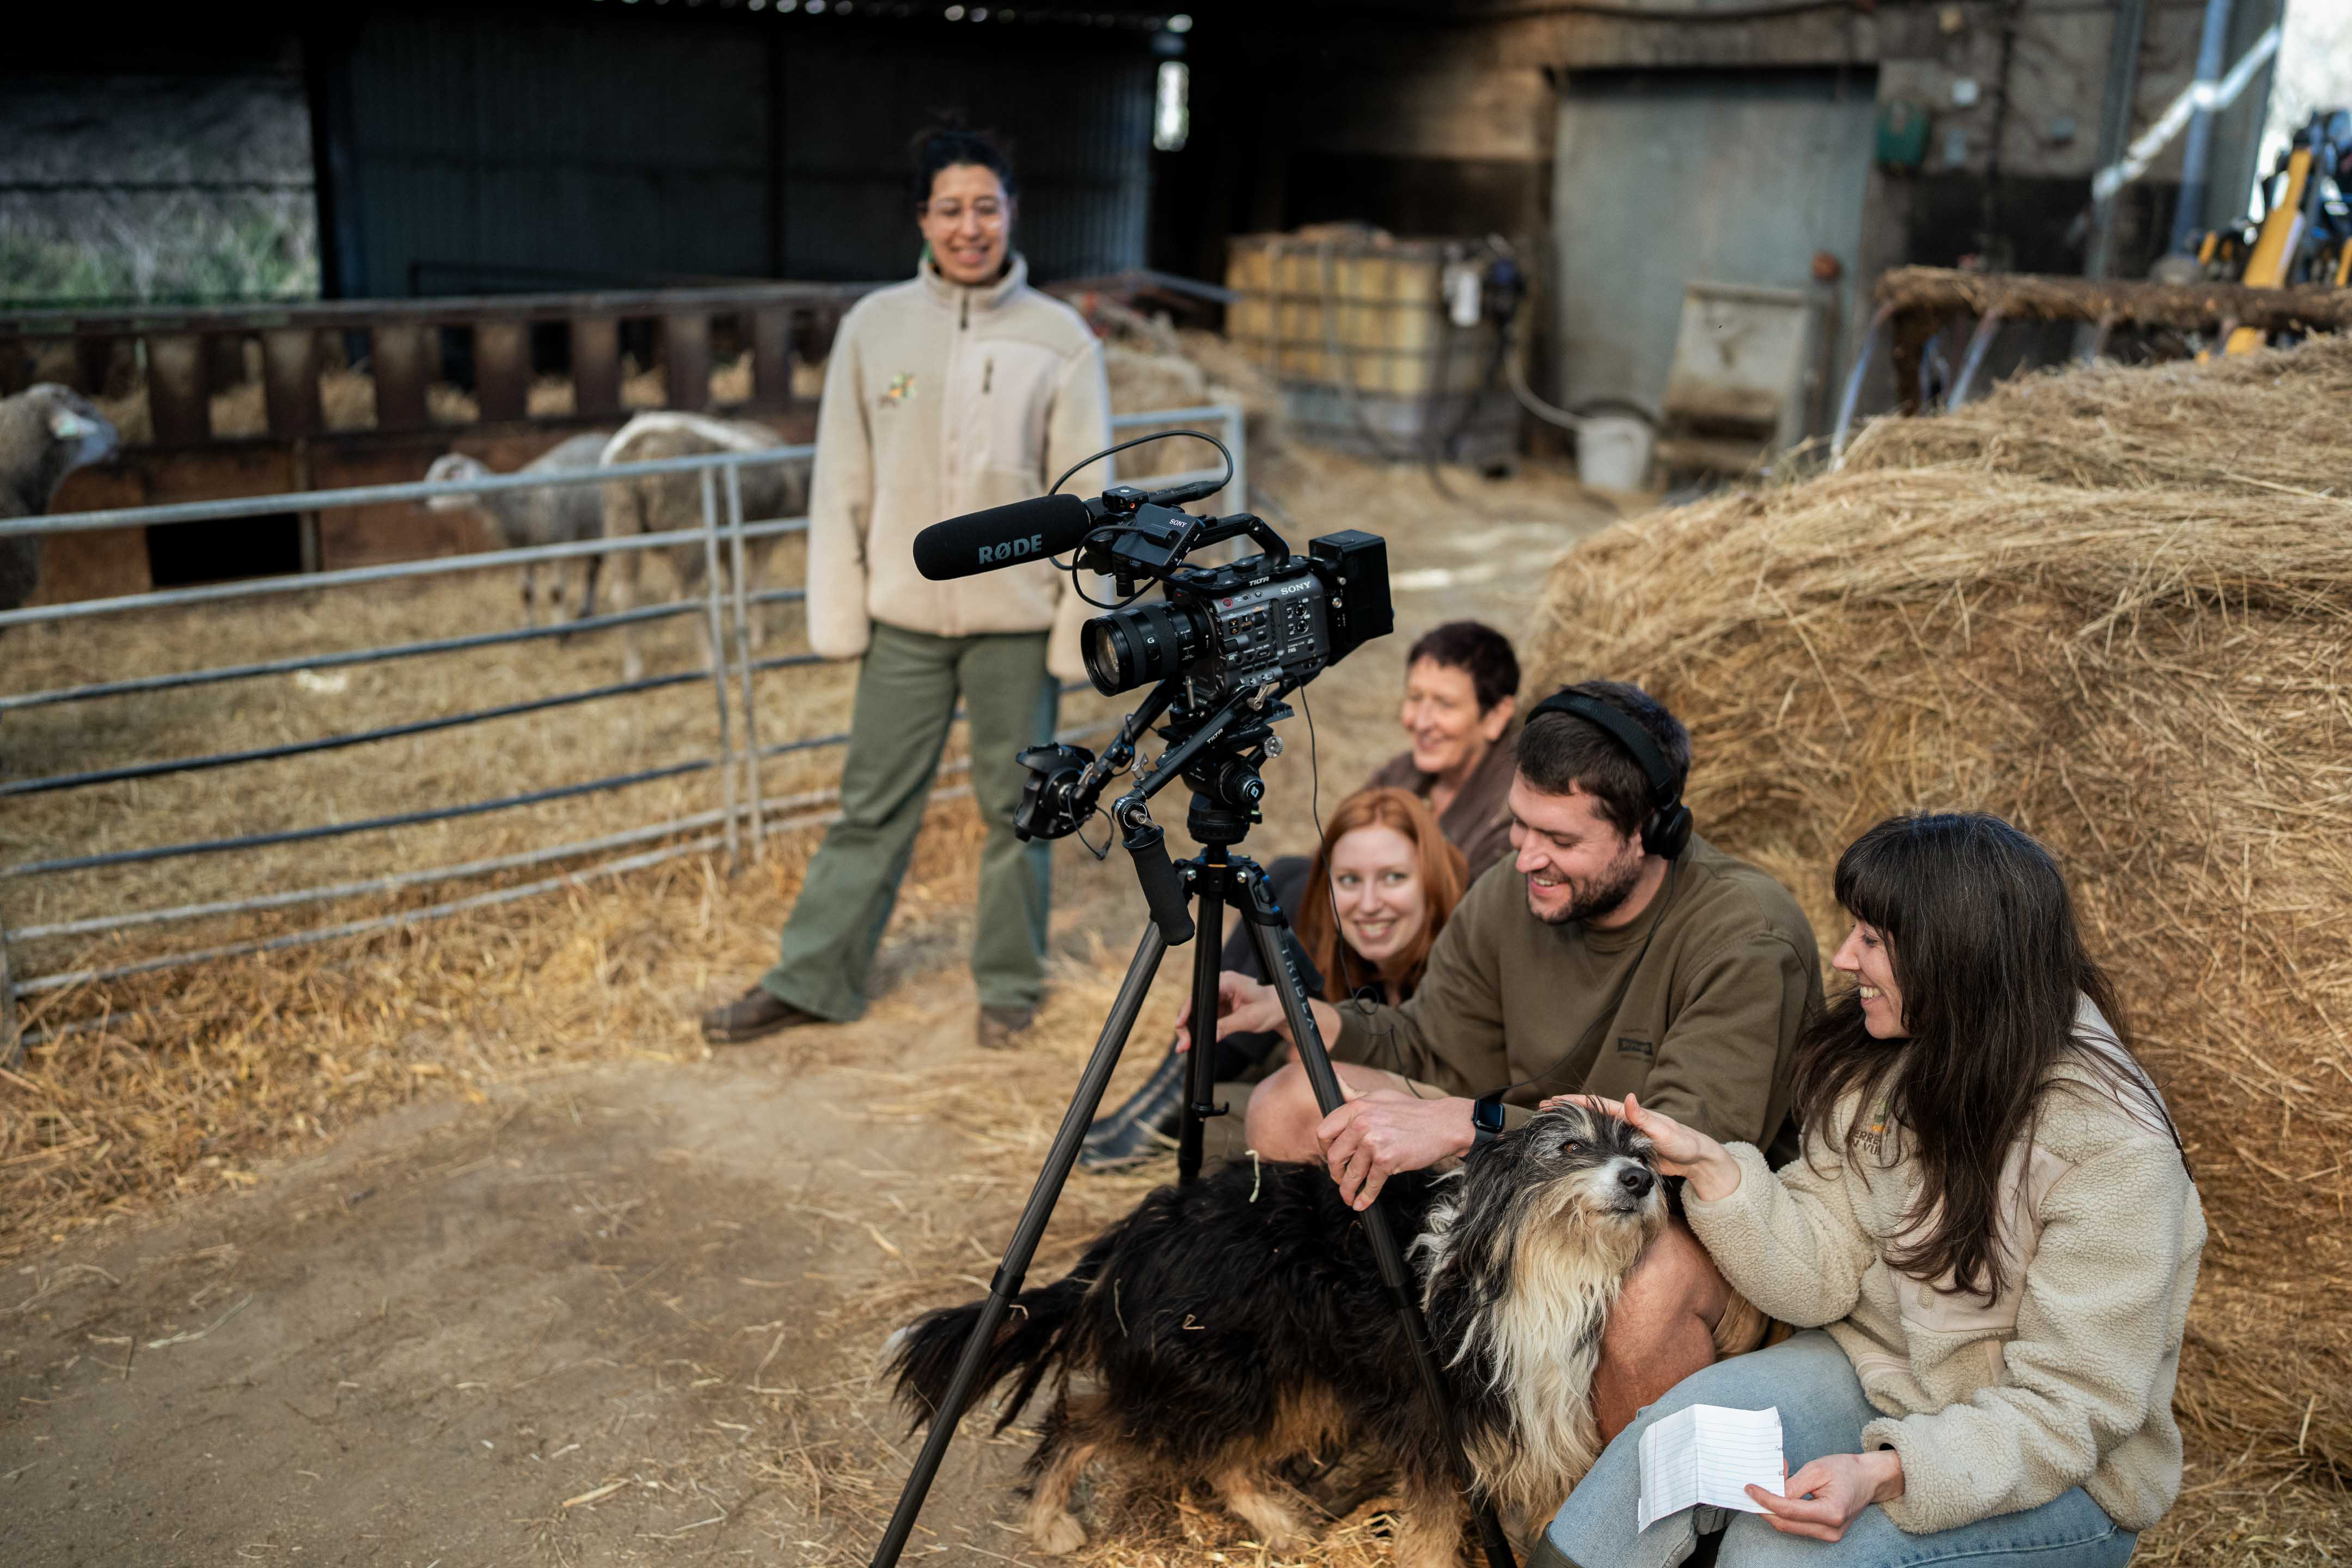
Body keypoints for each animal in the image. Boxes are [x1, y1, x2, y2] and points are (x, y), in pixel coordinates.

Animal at [423, 431, 614, 627]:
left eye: (447, 477)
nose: (422, 503)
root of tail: (601, 437)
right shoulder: (520, 551)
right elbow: (526, 592)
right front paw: (528, 626)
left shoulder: (559, 544)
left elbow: (556, 593)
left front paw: (561, 628)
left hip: (598, 527)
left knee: (593, 569)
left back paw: (586, 609)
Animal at [599, 412, 810, 681]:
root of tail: (639, 439)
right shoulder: (766, 535)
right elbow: (755, 585)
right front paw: (757, 636)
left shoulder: (728, 542)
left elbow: (735, 584)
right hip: (689, 531)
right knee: (692, 594)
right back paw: (710, 659)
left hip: (620, 520)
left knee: (624, 593)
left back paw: (634, 668)